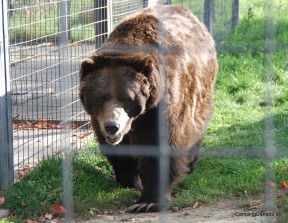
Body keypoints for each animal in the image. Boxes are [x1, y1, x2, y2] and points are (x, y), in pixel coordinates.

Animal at [79, 4, 216, 213]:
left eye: (126, 98)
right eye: (101, 97)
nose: (112, 126)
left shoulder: (160, 109)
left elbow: (159, 148)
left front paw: (147, 201)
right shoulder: (98, 118)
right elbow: (117, 150)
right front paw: (129, 181)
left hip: (200, 94)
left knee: (196, 125)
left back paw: (190, 164)